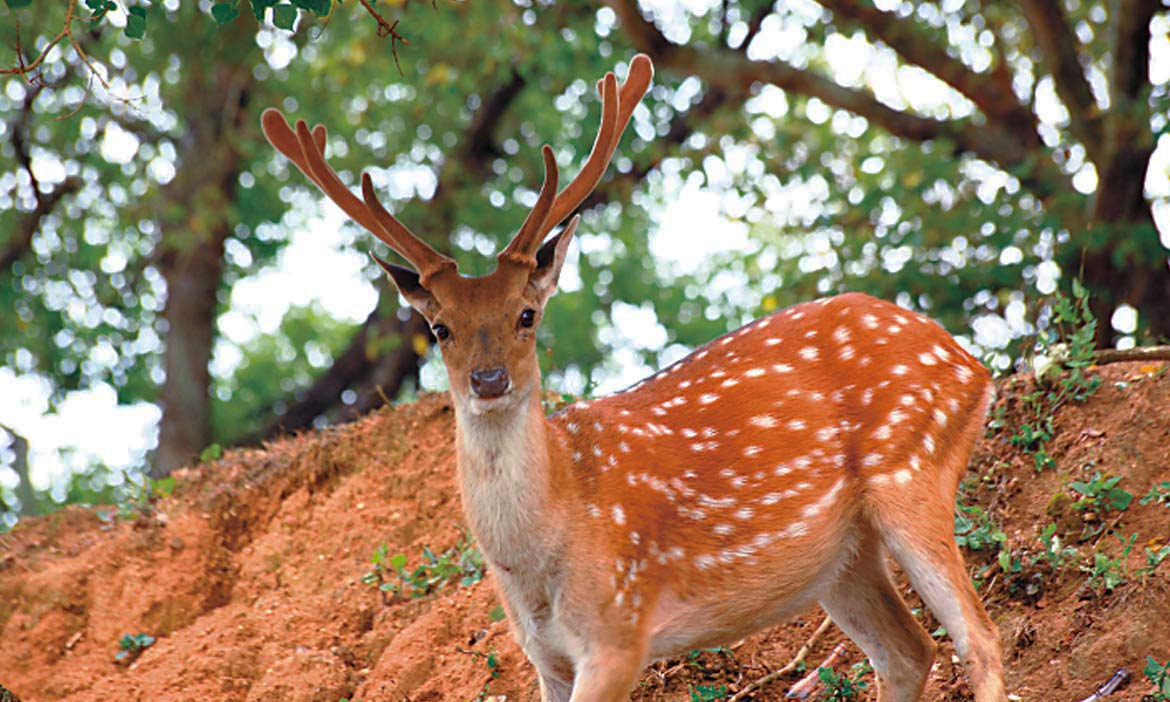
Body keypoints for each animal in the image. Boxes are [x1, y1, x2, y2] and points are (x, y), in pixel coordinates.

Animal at [263, 54, 1006, 702]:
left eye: (526, 313)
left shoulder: (620, 628)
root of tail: (970, 363)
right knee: (908, 652)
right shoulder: (544, 657)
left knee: (979, 636)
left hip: (913, 466)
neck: (542, 553)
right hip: (843, 559)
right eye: (440, 327)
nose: (489, 379)